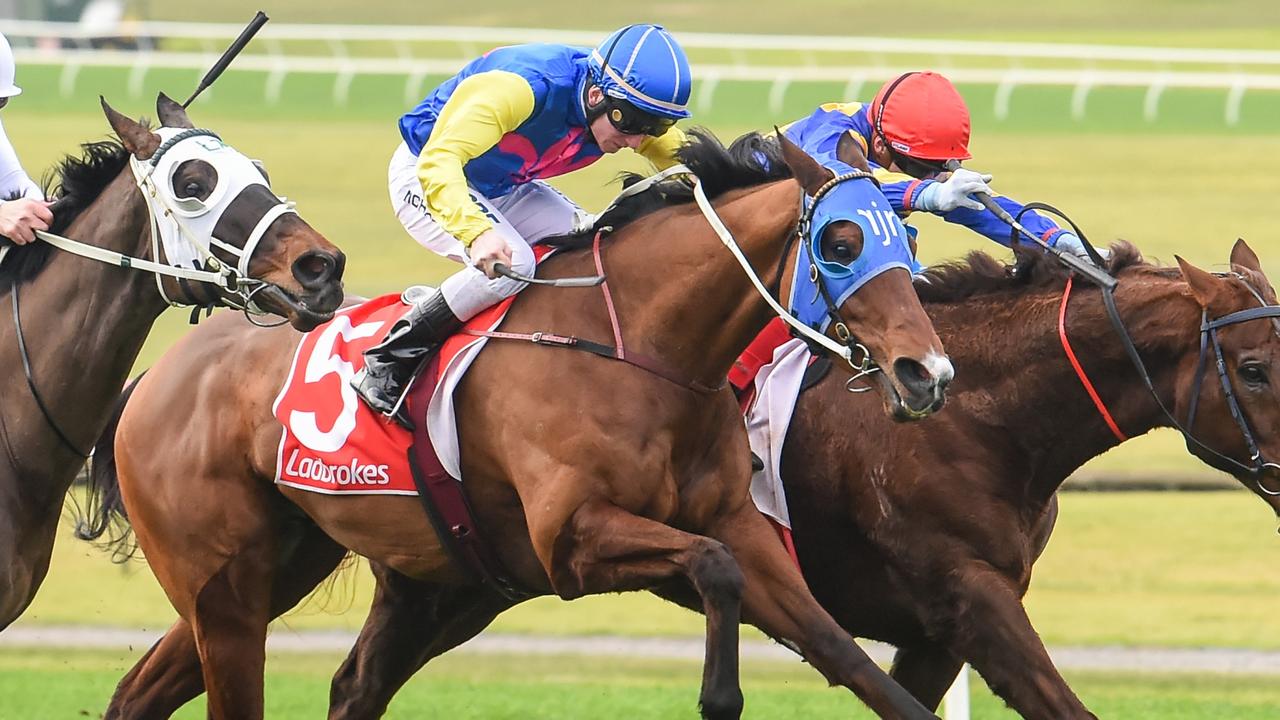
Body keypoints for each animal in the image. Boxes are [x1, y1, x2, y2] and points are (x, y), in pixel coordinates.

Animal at [85, 131, 957, 712]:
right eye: (840, 241)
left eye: (905, 239)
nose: (928, 374)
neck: (640, 349)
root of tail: (153, 378)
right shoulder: (571, 540)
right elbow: (713, 569)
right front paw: (719, 695)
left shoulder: (741, 527)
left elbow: (845, 653)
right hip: (222, 583)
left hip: (291, 565)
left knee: (156, 693)